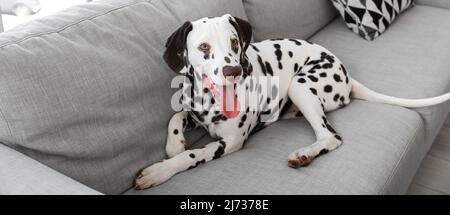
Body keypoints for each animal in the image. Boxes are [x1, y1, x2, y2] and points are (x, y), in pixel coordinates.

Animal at [134, 14, 450, 189]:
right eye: (203, 47)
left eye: (234, 42)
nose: (232, 71)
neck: (211, 99)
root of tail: (346, 72)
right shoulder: (192, 109)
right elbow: (176, 117)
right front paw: (175, 144)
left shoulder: (231, 143)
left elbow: (193, 155)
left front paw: (160, 170)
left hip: (301, 87)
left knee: (331, 136)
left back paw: (306, 154)